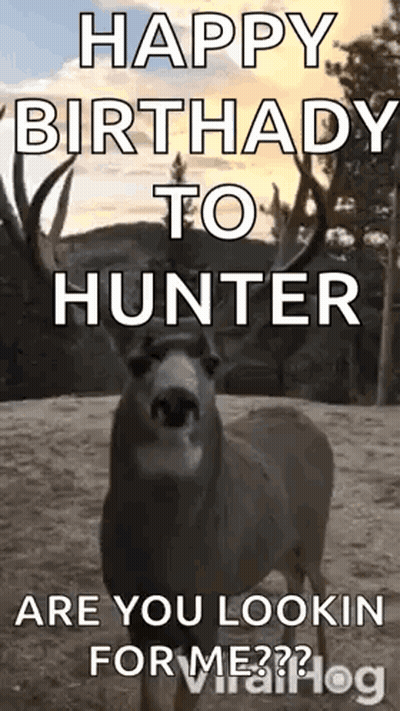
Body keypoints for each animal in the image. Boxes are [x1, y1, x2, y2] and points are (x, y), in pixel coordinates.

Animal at [0, 111, 334, 710]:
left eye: (213, 360)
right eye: (136, 360)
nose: (177, 400)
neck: (169, 567)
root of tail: (307, 422)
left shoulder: (208, 612)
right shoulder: (134, 615)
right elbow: (149, 700)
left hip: (316, 527)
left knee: (322, 584)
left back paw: (323, 673)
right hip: (281, 544)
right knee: (294, 584)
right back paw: (281, 665)